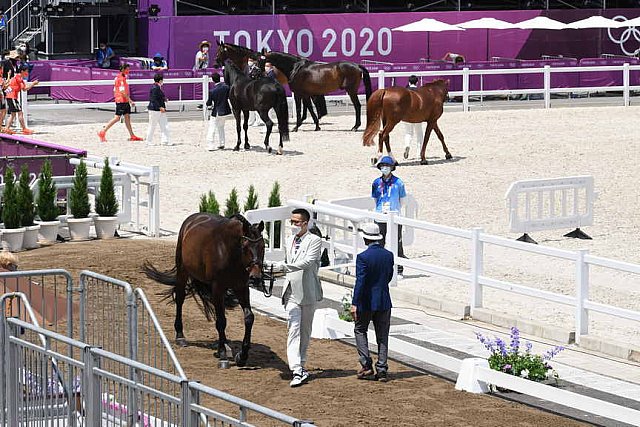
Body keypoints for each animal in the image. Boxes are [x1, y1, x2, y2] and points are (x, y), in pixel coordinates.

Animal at [142, 214, 270, 368]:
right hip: (183, 271)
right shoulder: (218, 288)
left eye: (263, 246)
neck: (230, 252)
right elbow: (221, 321)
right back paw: (180, 336)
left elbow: (249, 318)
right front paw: (223, 355)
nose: (256, 278)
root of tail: (194, 218)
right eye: (245, 246)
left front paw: (242, 356)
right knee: (180, 299)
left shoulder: (241, 288)